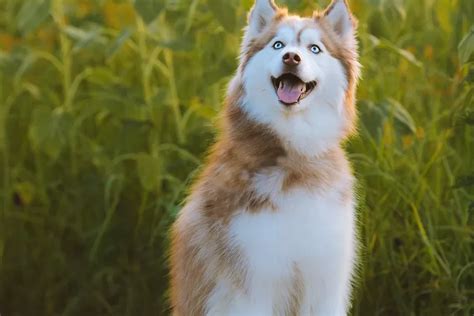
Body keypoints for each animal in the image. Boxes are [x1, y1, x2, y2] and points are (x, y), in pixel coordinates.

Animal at [172, 0, 362, 314]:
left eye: (314, 48)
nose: (291, 58)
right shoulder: (254, 282)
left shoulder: (324, 282)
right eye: (278, 44)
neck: (296, 157)